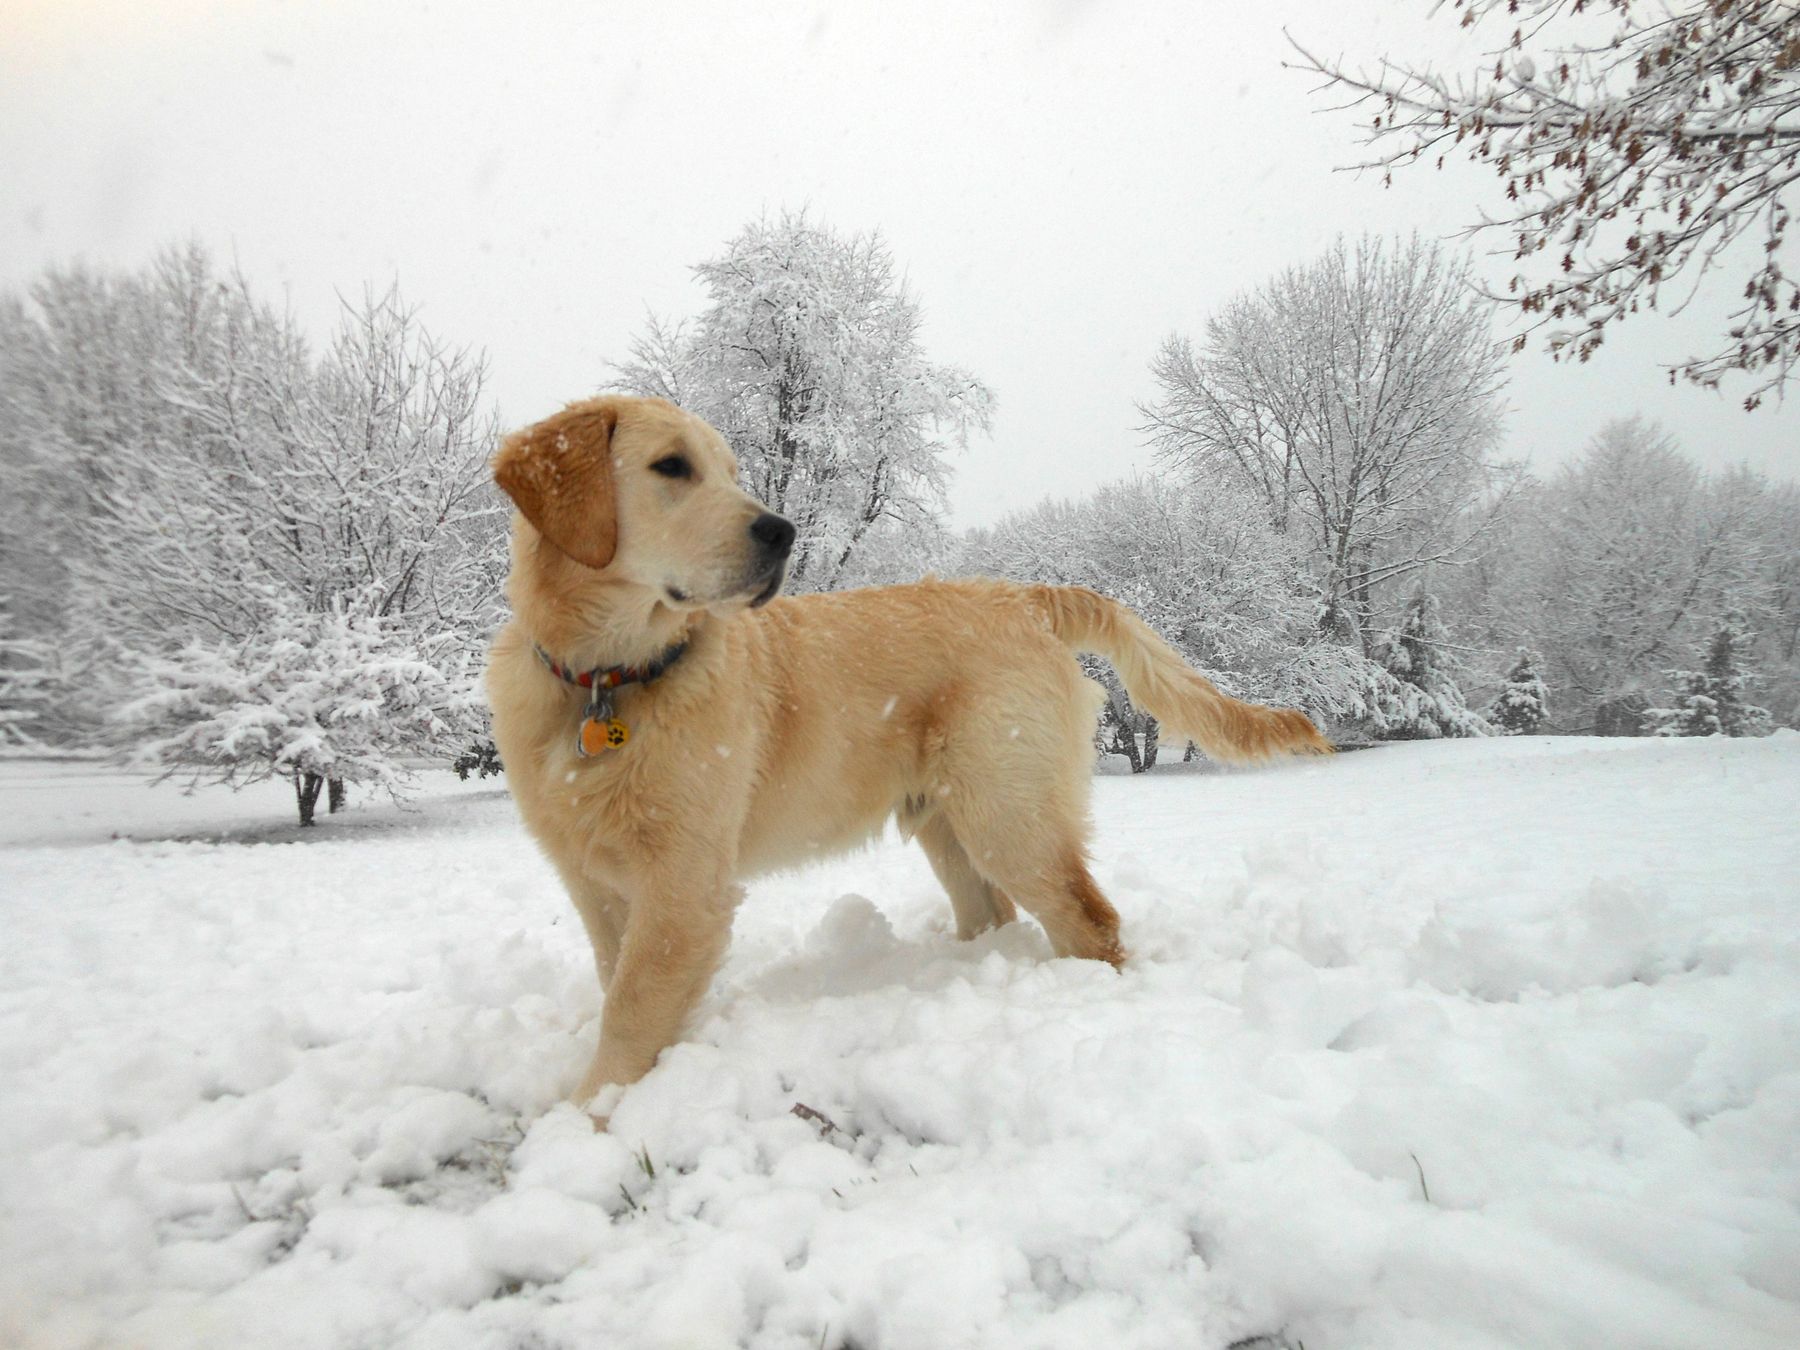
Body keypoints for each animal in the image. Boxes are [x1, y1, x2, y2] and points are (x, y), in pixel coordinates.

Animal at [486, 396, 1332, 1116]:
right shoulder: (594, 880)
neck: (607, 680)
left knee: (1093, 920)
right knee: (992, 913)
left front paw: (587, 1118)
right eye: (671, 467)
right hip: (948, 824)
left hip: (1007, 811)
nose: (782, 532)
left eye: (729, 471)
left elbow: (631, 1007)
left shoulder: (683, 882)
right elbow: (618, 982)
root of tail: (1026, 596)